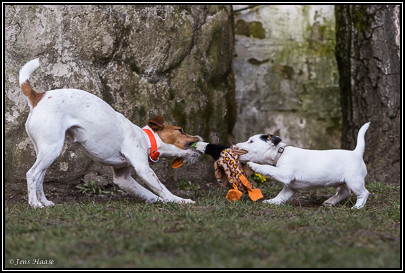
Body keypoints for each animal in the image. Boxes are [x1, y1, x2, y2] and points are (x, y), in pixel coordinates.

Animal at [19, 57, 201, 206]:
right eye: (180, 130)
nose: (199, 137)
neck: (146, 138)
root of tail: (38, 96)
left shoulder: (123, 177)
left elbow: (147, 192)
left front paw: (158, 200)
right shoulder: (143, 168)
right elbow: (162, 188)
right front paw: (180, 200)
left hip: (45, 152)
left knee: (40, 178)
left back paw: (44, 202)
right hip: (52, 150)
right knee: (31, 174)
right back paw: (34, 204)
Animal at [235, 122, 370, 209]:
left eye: (251, 141)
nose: (235, 145)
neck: (280, 153)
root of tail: (356, 153)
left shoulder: (285, 174)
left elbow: (268, 168)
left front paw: (253, 165)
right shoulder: (290, 186)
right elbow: (281, 196)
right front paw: (272, 202)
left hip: (354, 180)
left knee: (364, 193)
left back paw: (357, 207)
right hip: (340, 181)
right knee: (344, 192)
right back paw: (330, 202)